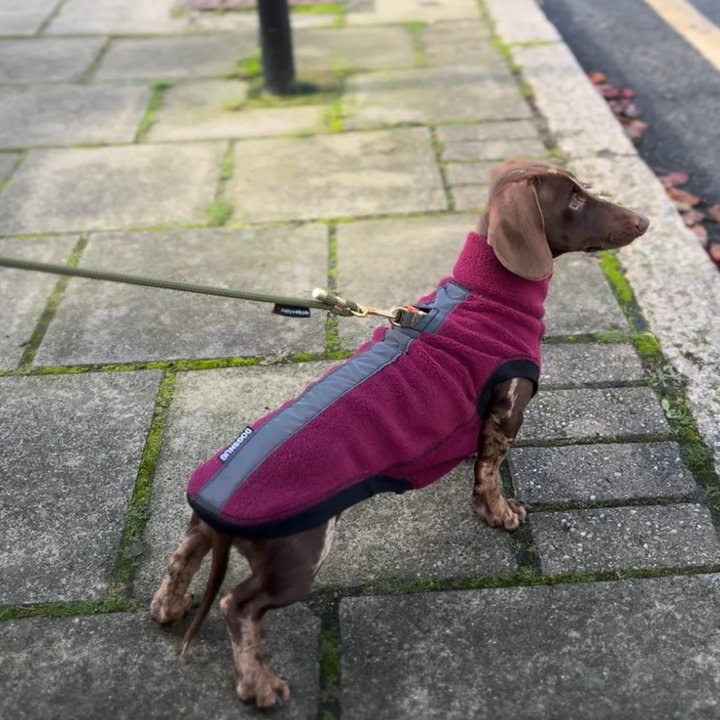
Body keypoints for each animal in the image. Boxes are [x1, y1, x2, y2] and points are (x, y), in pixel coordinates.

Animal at [149, 159, 648, 708]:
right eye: (575, 198)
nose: (644, 220)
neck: (485, 293)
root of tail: (216, 503)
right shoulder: (507, 409)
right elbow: (489, 472)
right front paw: (500, 514)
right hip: (296, 558)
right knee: (237, 607)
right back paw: (259, 685)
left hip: (204, 533)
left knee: (179, 559)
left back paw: (168, 608)